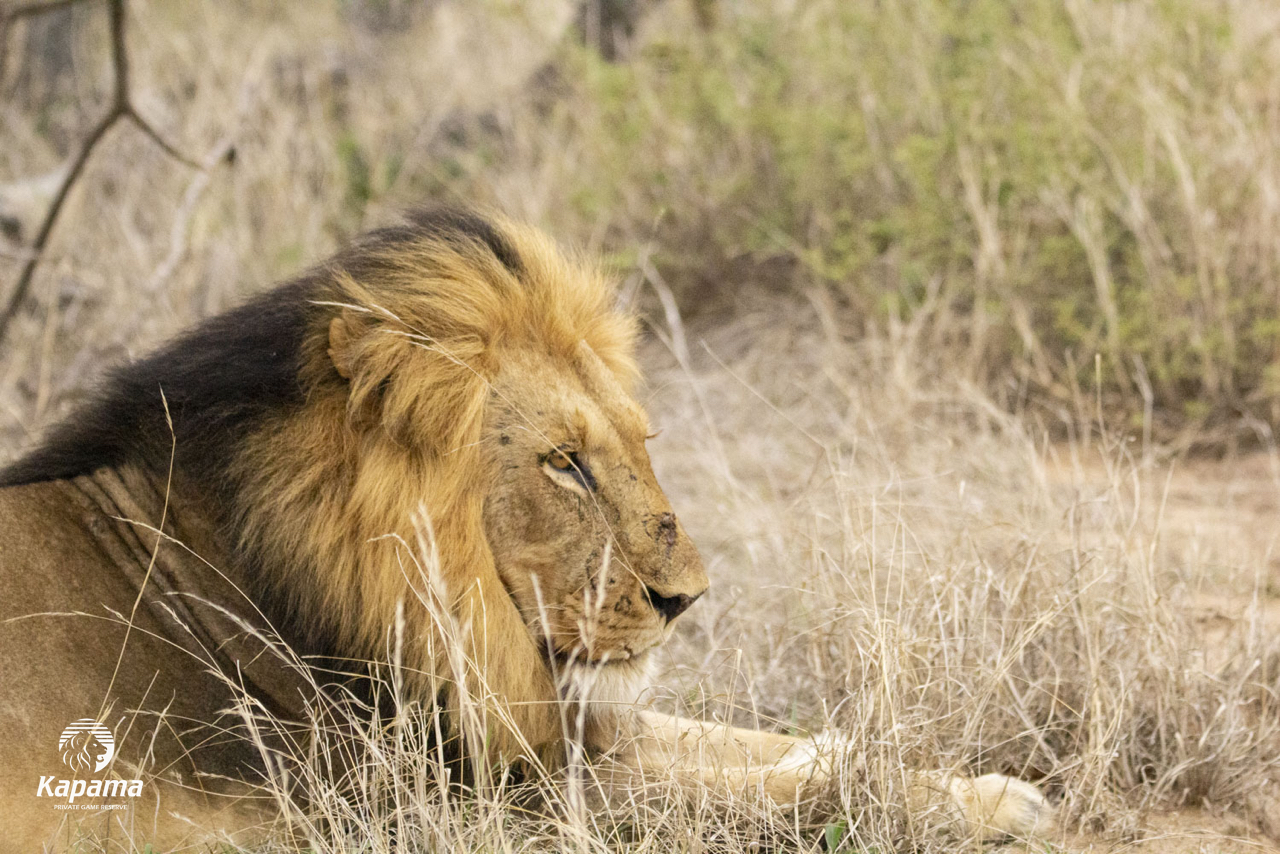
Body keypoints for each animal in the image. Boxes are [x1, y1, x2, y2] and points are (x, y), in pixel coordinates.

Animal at [0, 208, 1050, 850]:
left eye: (636, 443)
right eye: (565, 464)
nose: (687, 601)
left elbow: (752, 743)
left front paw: (973, 784)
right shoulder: (467, 803)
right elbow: (777, 789)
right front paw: (989, 807)